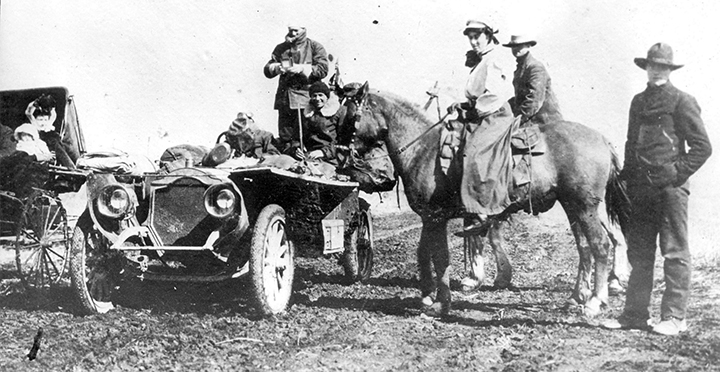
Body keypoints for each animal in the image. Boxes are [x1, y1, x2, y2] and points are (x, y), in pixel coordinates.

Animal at [346, 83, 628, 316]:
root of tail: (603, 139)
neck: (424, 150)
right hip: (572, 207)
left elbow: (441, 256)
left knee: (601, 245)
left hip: (585, 207)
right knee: (585, 248)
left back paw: (595, 301)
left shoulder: (436, 217)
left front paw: (441, 302)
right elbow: (425, 252)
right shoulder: (430, 217)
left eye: (351, 115)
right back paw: (578, 296)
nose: (344, 151)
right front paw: (428, 296)